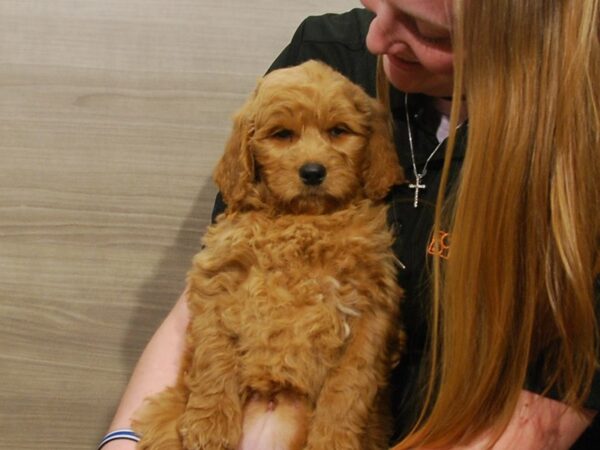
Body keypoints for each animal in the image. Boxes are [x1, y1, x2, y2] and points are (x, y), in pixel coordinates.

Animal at [134, 60, 406, 450]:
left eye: (338, 131)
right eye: (282, 135)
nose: (312, 172)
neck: (303, 222)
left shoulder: (372, 304)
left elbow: (349, 383)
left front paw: (333, 438)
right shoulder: (218, 280)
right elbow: (214, 355)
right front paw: (210, 424)